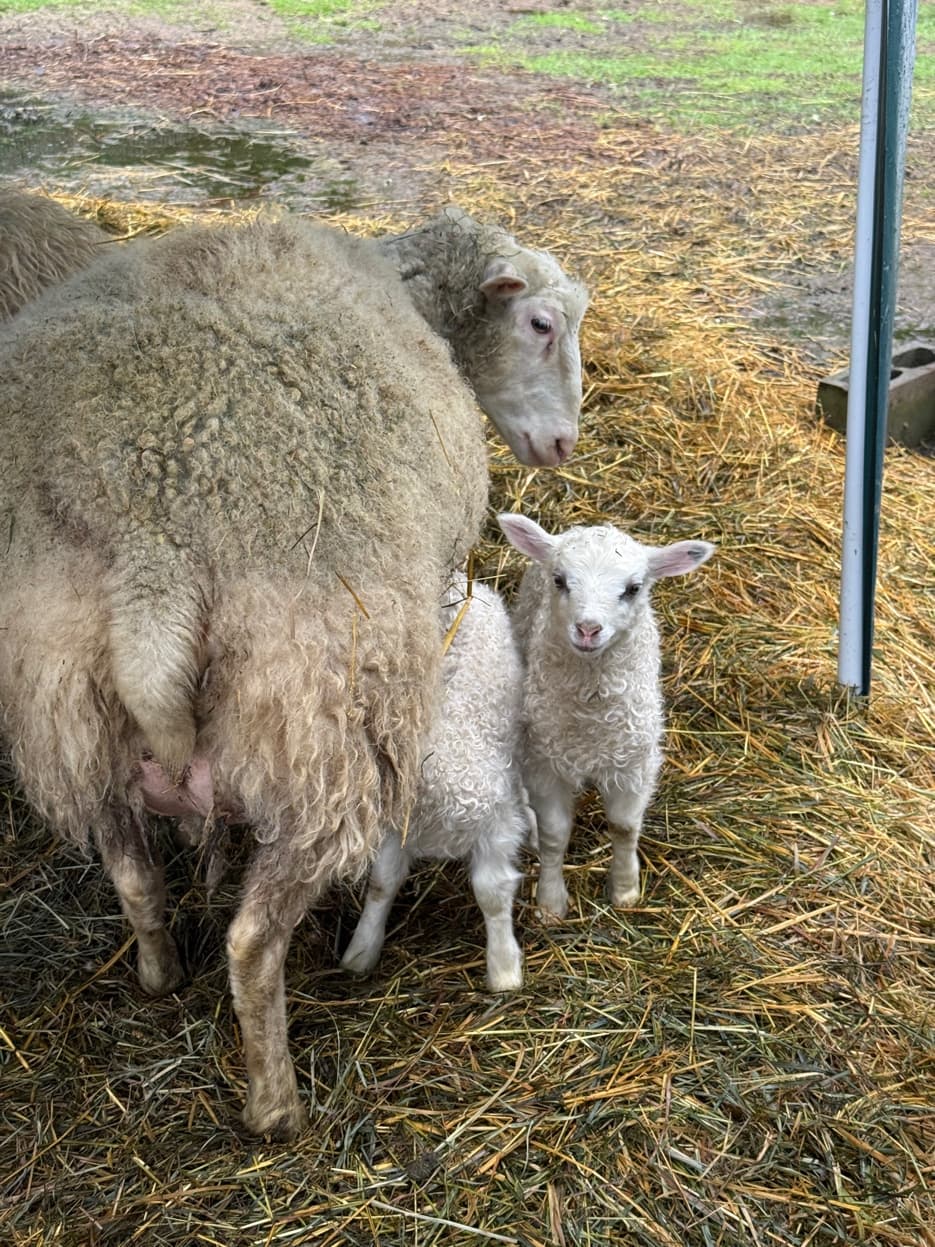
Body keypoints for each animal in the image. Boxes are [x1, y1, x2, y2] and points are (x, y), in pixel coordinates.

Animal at [341, 573, 528, 993]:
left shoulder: (495, 825)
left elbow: (492, 893)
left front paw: (504, 969)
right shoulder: (400, 828)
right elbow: (382, 883)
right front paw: (360, 952)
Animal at [497, 513, 715, 920]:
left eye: (633, 588)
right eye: (559, 580)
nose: (587, 629)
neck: (591, 719)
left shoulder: (633, 764)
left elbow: (624, 827)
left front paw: (626, 891)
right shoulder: (546, 764)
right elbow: (554, 836)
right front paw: (550, 902)